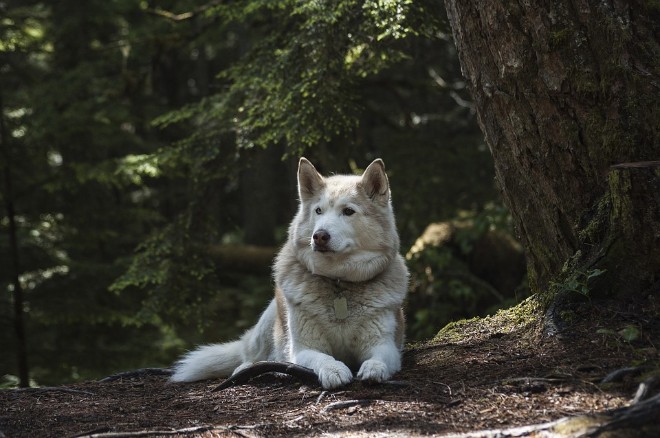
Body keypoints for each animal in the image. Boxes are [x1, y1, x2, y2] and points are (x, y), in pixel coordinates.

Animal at [170, 157, 408, 390]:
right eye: (318, 211)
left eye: (348, 211)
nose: (319, 236)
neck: (338, 282)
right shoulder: (302, 349)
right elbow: (323, 358)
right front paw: (334, 370)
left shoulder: (385, 345)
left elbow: (379, 358)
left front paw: (374, 369)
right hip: (269, 320)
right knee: (252, 356)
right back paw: (251, 368)